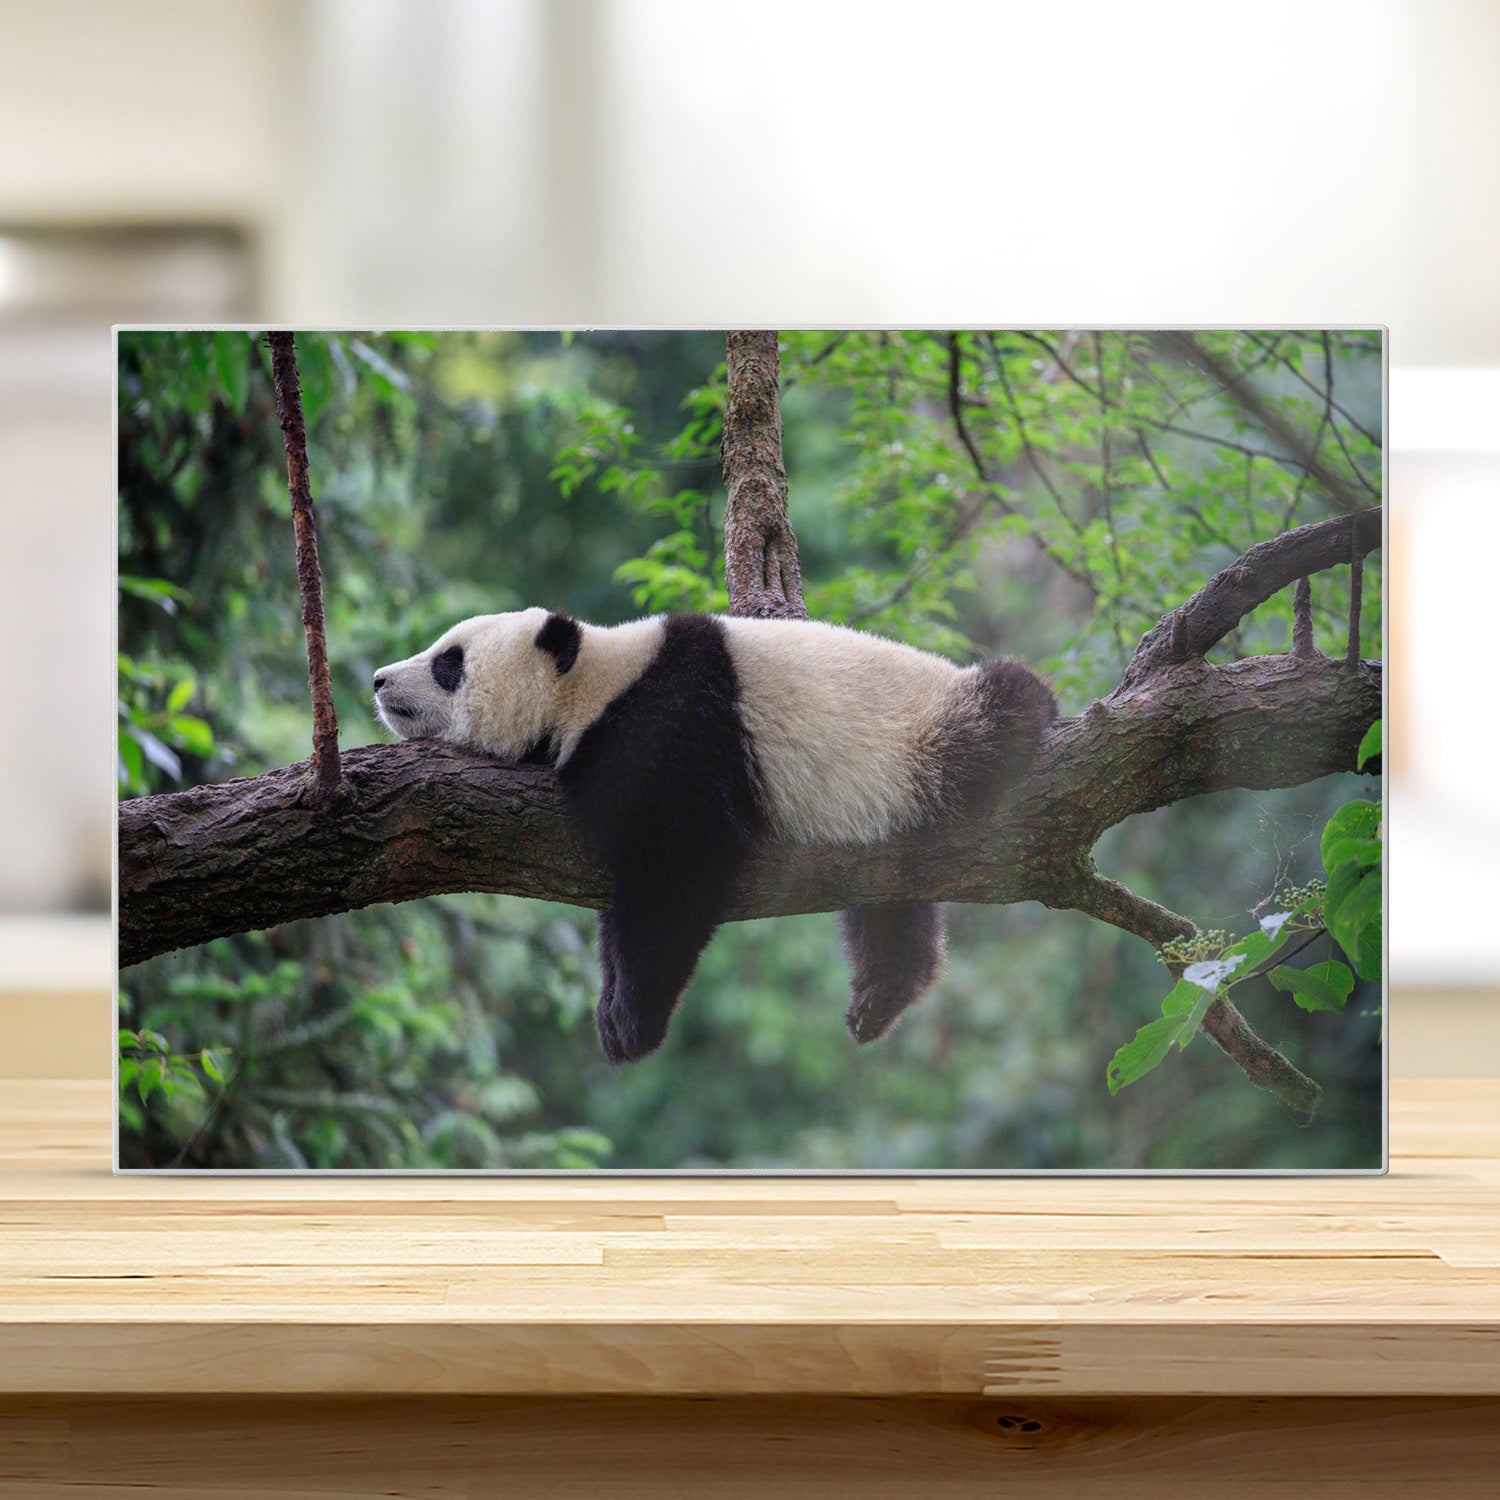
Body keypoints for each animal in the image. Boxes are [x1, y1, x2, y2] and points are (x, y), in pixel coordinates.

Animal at [374, 609, 1055, 1064]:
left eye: (449, 662)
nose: (379, 679)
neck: (595, 683)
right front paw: (612, 1006)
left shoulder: (674, 728)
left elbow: (680, 868)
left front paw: (631, 1022)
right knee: (889, 903)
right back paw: (881, 995)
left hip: (923, 735)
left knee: (997, 713)